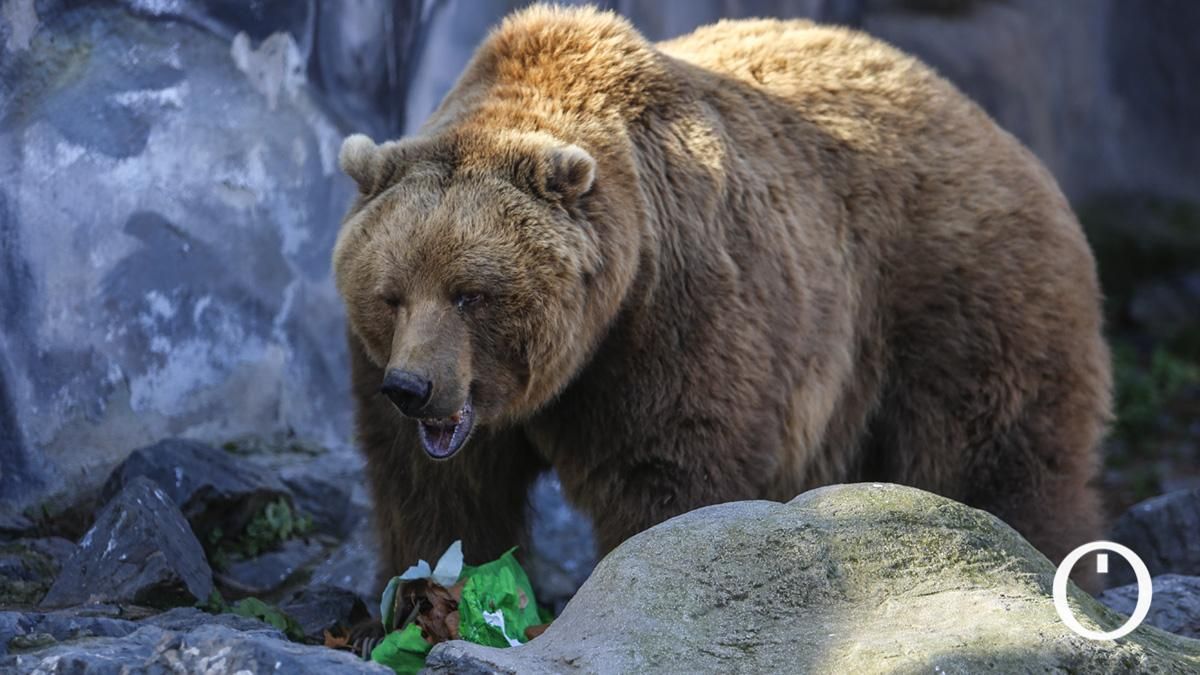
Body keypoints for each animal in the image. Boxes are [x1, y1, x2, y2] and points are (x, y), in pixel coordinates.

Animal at [332, 5, 1110, 595]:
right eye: (391, 295)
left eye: (473, 294)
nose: (413, 386)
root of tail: (1003, 135)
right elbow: (438, 497)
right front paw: (426, 601)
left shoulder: (675, 315)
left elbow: (673, 474)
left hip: (961, 300)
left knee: (997, 457)